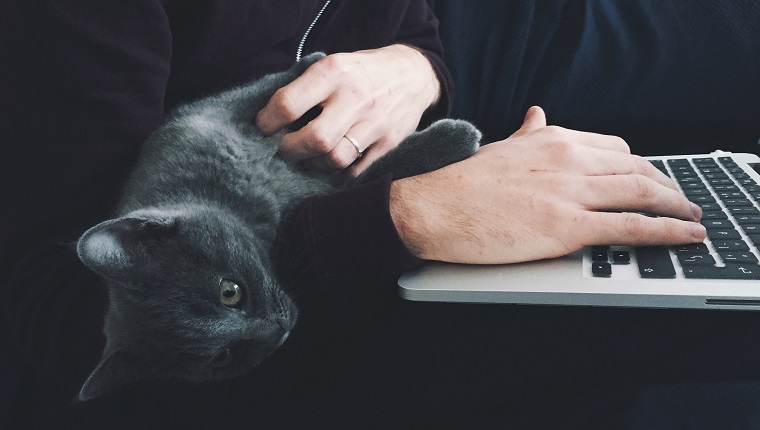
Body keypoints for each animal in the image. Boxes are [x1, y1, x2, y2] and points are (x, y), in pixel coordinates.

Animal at [75, 52, 480, 402]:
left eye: (229, 292)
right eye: (223, 357)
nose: (277, 332)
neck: (224, 196)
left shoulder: (194, 119)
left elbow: (253, 94)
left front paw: (310, 63)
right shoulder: (319, 198)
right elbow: (372, 176)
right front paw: (449, 139)